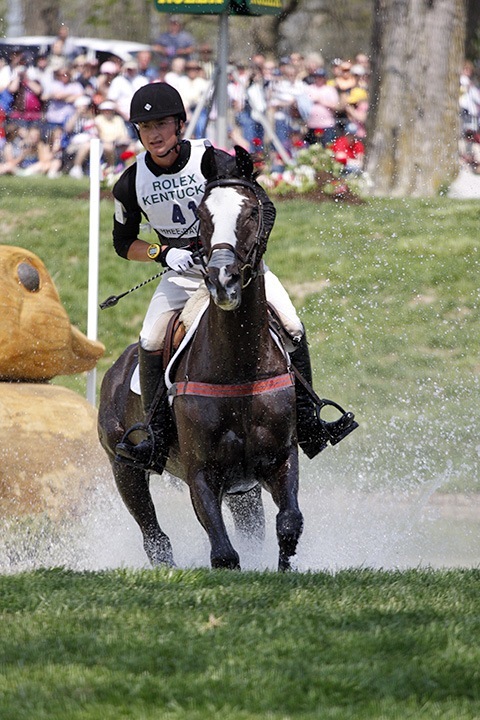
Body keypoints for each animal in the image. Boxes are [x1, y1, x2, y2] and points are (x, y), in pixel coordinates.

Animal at [98, 145, 303, 571]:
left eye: (252, 212)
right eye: (203, 216)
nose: (222, 281)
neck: (239, 366)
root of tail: (112, 372)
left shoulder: (278, 460)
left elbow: (289, 524)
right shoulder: (201, 475)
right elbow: (224, 554)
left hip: (243, 489)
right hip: (124, 468)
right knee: (155, 539)